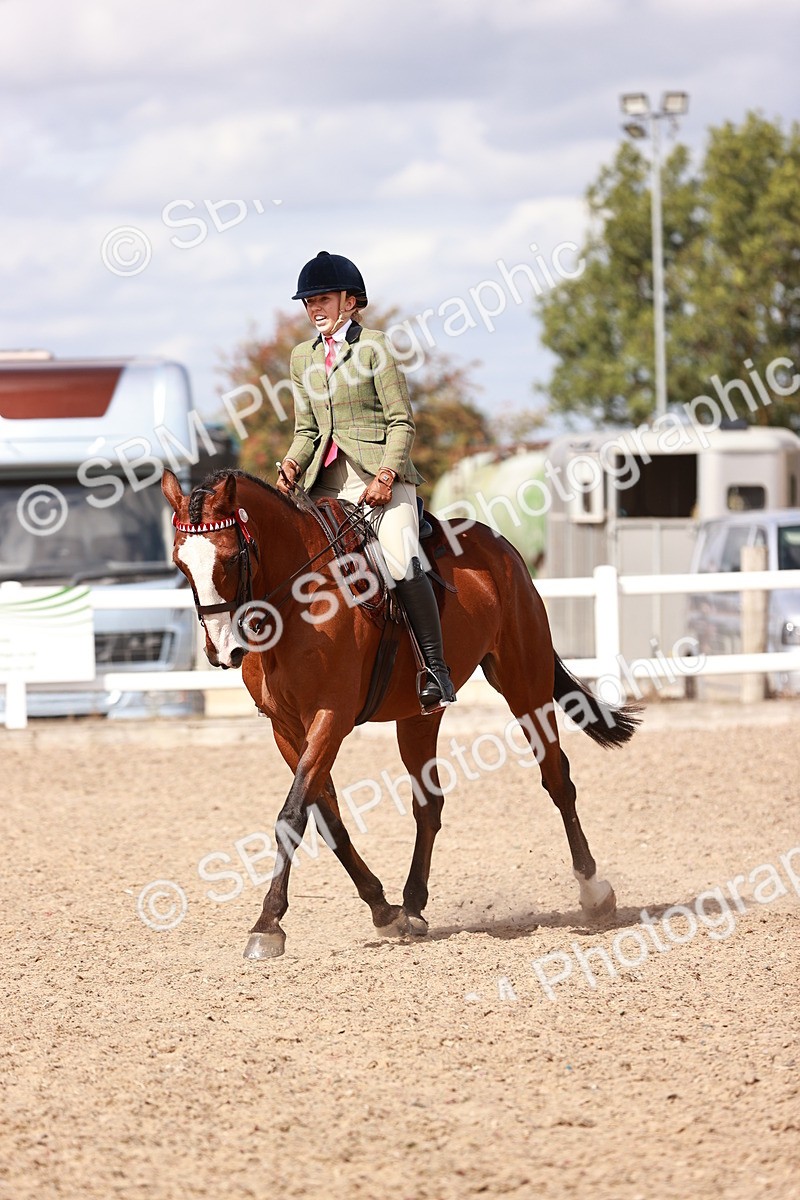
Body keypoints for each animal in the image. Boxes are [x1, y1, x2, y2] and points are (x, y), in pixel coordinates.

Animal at [161, 467, 639, 960]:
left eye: (231, 557)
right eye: (180, 564)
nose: (221, 651)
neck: (296, 602)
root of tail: (500, 546)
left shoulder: (329, 718)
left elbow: (292, 817)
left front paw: (267, 923)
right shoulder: (286, 729)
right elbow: (326, 818)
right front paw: (383, 909)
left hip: (525, 686)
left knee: (557, 779)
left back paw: (594, 892)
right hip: (419, 716)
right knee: (428, 804)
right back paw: (412, 904)